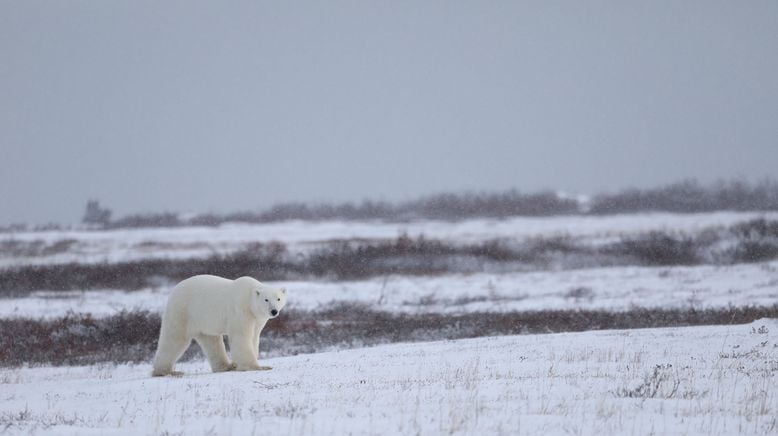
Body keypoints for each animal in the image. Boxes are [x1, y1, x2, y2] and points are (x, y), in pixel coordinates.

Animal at [152, 276, 284, 374]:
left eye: (278, 299)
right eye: (266, 299)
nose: (274, 311)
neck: (248, 298)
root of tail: (174, 290)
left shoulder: (257, 319)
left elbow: (254, 337)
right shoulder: (240, 310)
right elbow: (241, 336)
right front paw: (256, 367)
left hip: (203, 321)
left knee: (211, 341)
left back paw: (227, 366)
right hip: (182, 311)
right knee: (174, 338)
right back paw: (165, 371)